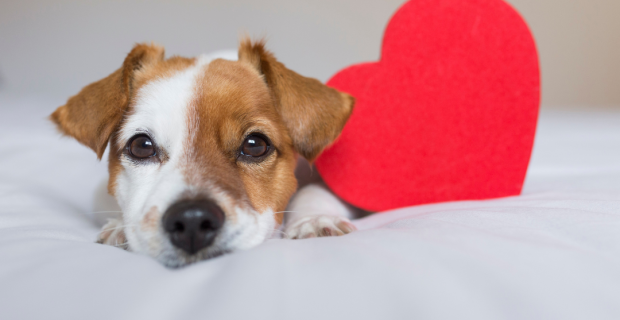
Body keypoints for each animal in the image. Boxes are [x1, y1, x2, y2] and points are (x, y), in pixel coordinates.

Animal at [52, 39, 364, 268]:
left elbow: (314, 191)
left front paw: (314, 220)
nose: (192, 221)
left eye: (255, 145)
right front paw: (120, 227)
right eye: (141, 146)